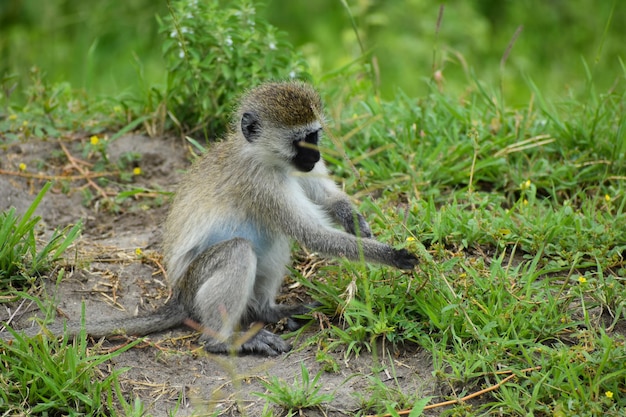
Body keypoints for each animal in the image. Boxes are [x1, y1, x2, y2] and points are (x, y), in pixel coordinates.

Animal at [3, 80, 420, 354]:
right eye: (301, 141)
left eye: (314, 137)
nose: (315, 156)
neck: (263, 158)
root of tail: (178, 297)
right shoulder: (260, 184)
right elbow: (309, 233)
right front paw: (392, 255)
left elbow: (320, 191)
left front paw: (354, 219)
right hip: (195, 284)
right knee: (239, 250)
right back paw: (223, 340)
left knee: (272, 238)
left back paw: (268, 311)